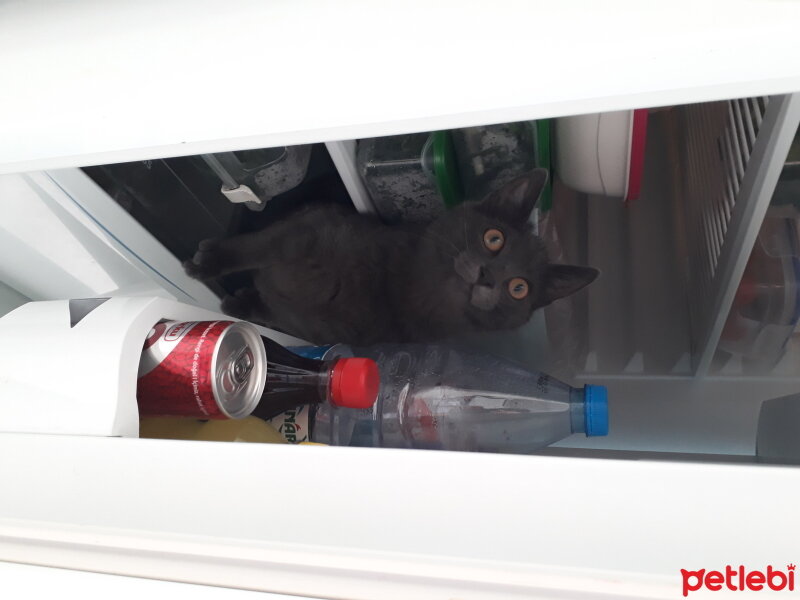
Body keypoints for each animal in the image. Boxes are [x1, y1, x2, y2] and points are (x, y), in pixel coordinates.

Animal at [184, 169, 596, 346]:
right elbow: (258, 246)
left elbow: (280, 315)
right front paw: (209, 263)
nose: (488, 276)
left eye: (519, 288)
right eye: (493, 239)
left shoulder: (323, 333)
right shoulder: (309, 229)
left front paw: (239, 304)